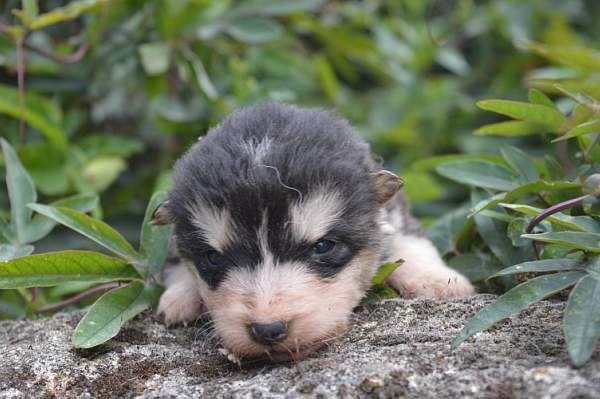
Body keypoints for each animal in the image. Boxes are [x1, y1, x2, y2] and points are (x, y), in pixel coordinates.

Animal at [151, 101, 474, 360]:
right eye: (213, 258)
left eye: (322, 246)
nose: (267, 330)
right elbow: (175, 264)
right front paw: (181, 295)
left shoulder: (393, 213)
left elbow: (408, 240)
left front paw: (437, 280)